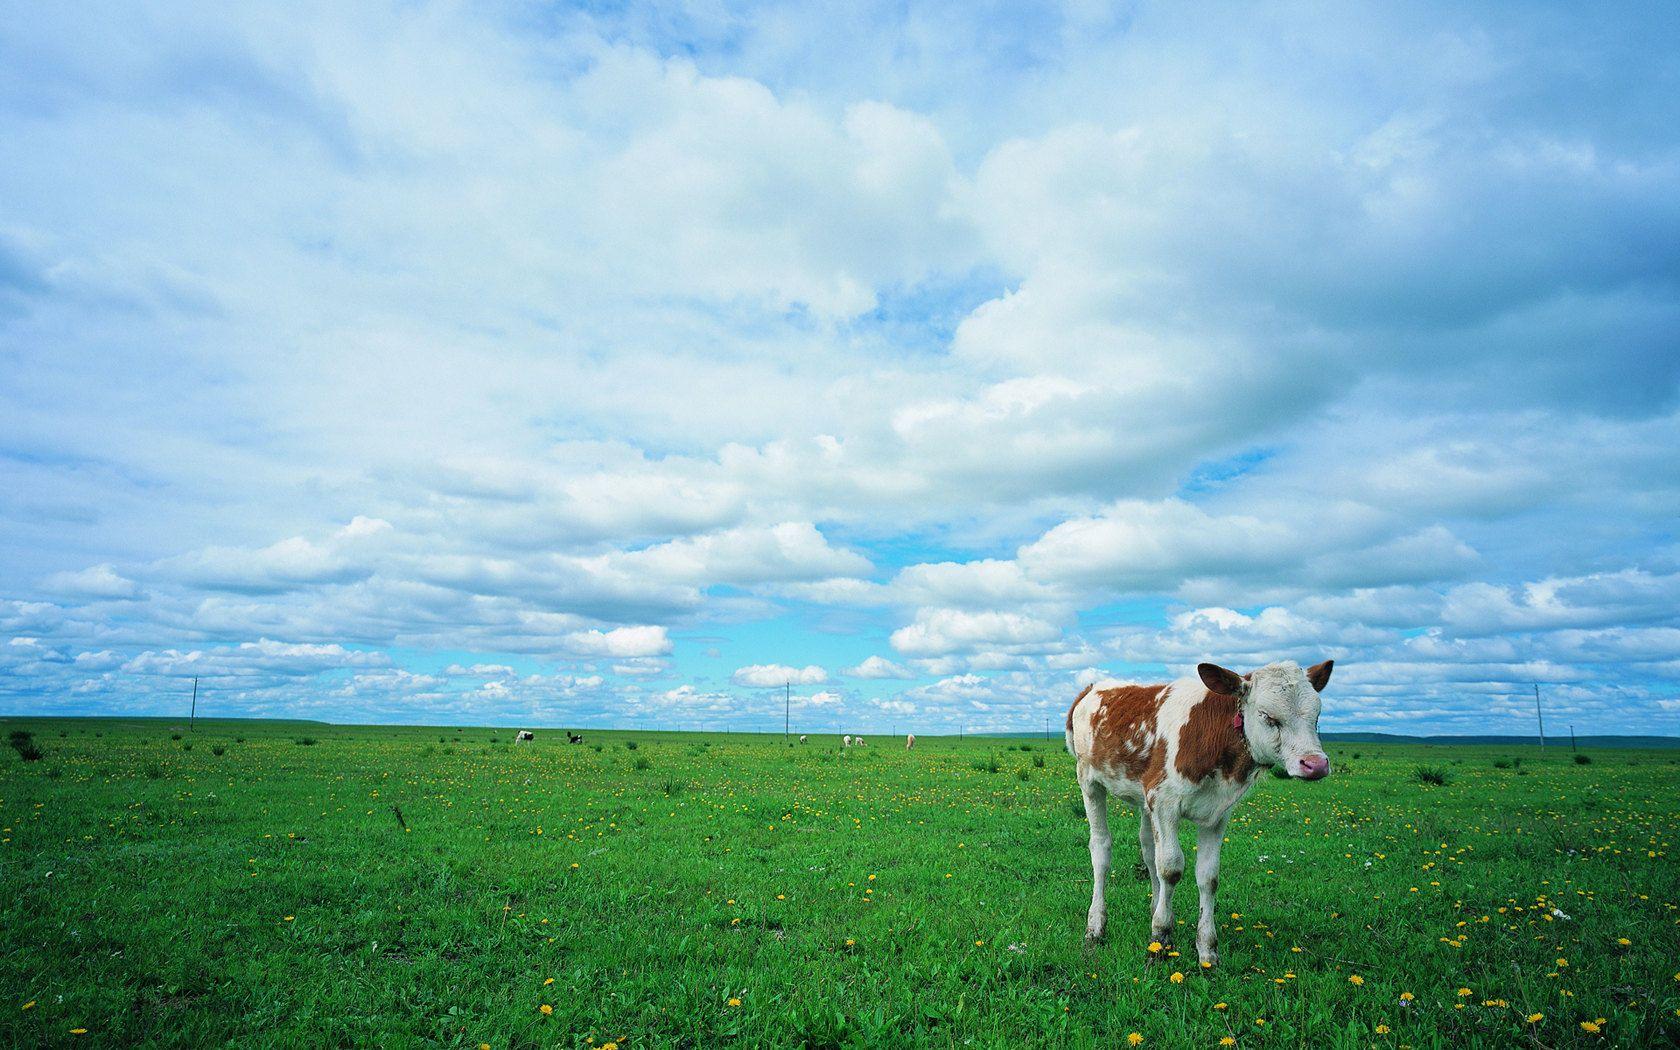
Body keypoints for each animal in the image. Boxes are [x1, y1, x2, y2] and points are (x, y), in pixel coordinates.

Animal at [1068, 658, 1330, 960]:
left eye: (1317, 717)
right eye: (1268, 716)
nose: (1315, 764)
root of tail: (1092, 687)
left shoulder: (1216, 814)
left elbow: (1208, 876)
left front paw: (1206, 948)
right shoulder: (1164, 802)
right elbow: (1170, 868)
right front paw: (1160, 937)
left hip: (1143, 799)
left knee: (1148, 850)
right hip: (1089, 781)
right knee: (1101, 849)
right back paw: (1095, 927)